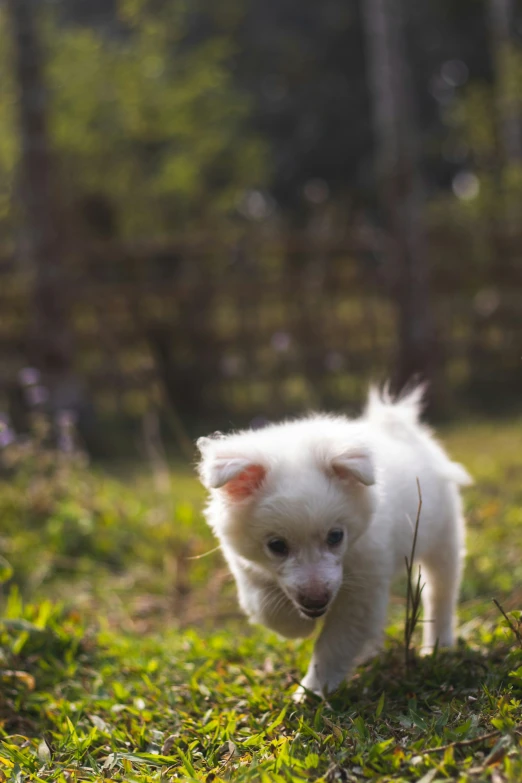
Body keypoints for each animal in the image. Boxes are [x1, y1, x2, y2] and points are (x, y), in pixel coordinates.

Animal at [196, 388, 472, 700]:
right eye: (277, 545)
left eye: (336, 536)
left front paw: (312, 691)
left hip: (443, 539)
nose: (316, 601)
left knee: (440, 593)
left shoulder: (362, 590)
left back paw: (438, 646)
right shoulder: (248, 569)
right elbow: (266, 606)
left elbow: (334, 645)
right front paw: (297, 626)